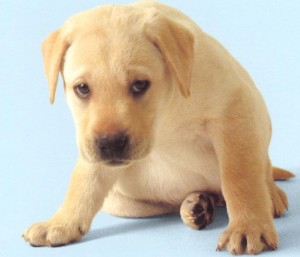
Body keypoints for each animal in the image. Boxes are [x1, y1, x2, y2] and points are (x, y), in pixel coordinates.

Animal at [22, 1, 292, 254]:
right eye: (82, 89)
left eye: (140, 84)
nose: (110, 144)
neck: (164, 114)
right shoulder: (91, 144)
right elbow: (84, 182)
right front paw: (61, 222)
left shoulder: (235, 110)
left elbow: (239, 176)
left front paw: (248, 226)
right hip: (123, 203)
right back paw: (198, 206)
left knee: (261, 169)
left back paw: (270, 195)